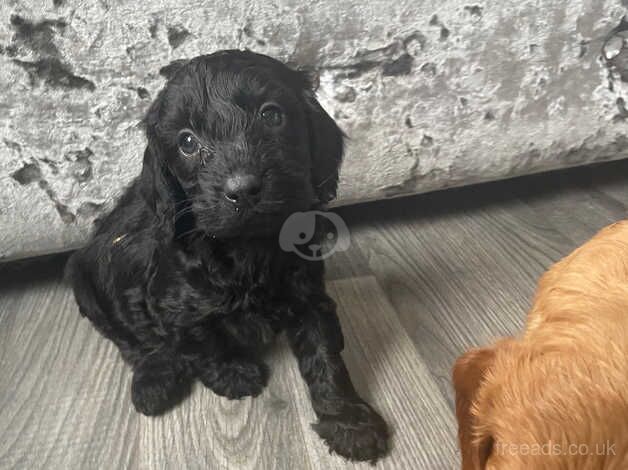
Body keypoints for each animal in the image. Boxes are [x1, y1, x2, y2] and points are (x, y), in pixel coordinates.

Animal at [65, 49, 388, 460]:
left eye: (272, 115)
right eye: (187, 142)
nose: (243, 189)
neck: (247, 246)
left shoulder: (308, 293)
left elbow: (325, 353)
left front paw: (348, 420)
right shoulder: (173, 303)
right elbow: (202, 340)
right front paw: (232, 373)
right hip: (85, 281)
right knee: (132, 342)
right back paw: (155, 379)